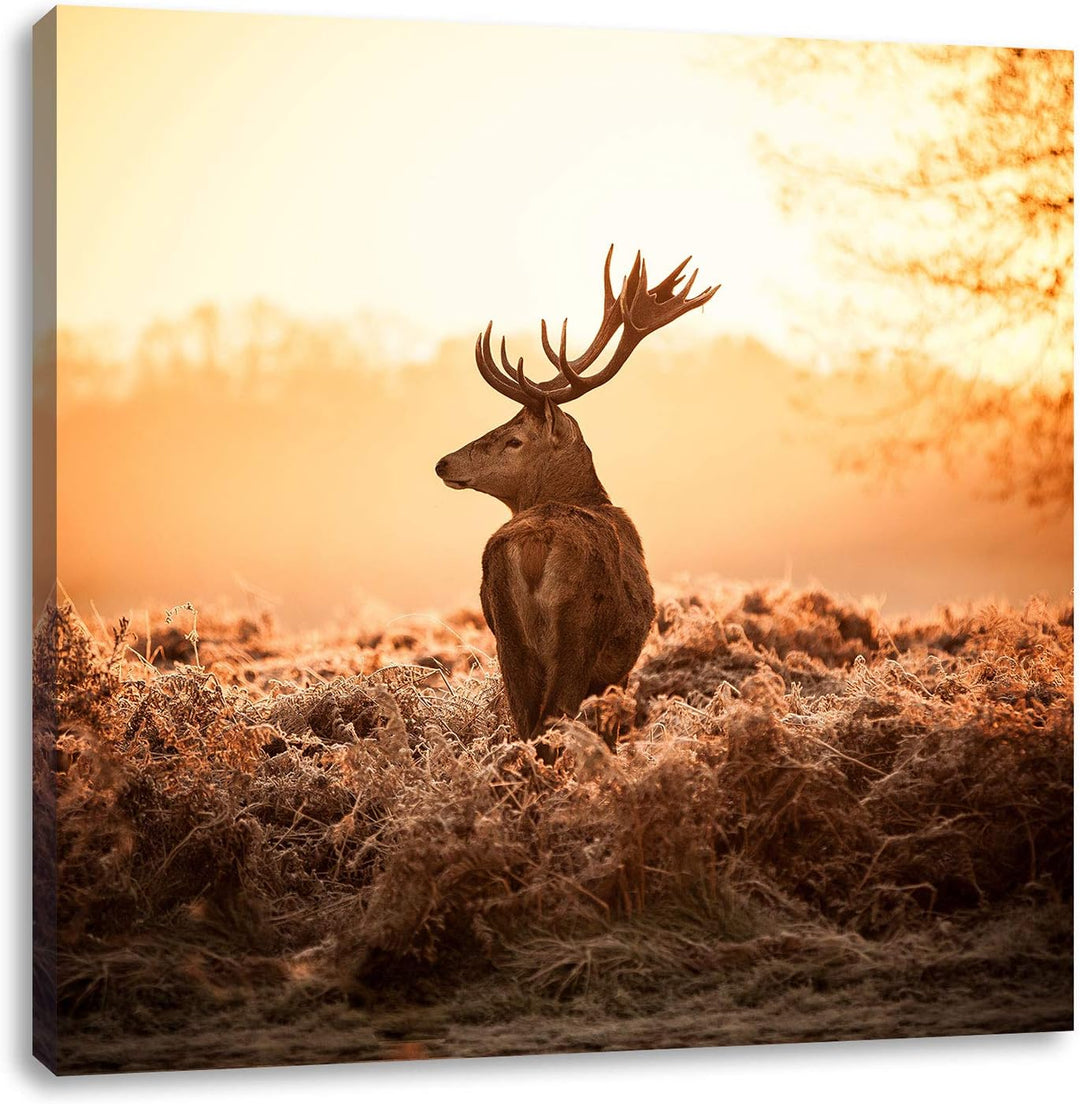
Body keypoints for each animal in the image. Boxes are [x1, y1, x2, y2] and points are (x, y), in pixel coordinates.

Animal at [436, 248, 719, 761]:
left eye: (512, 439)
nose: (443, 462)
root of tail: (532, 546)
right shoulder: (617, 668)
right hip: (579, 633)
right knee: (553, 720)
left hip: (507, 636)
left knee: (525, 723)